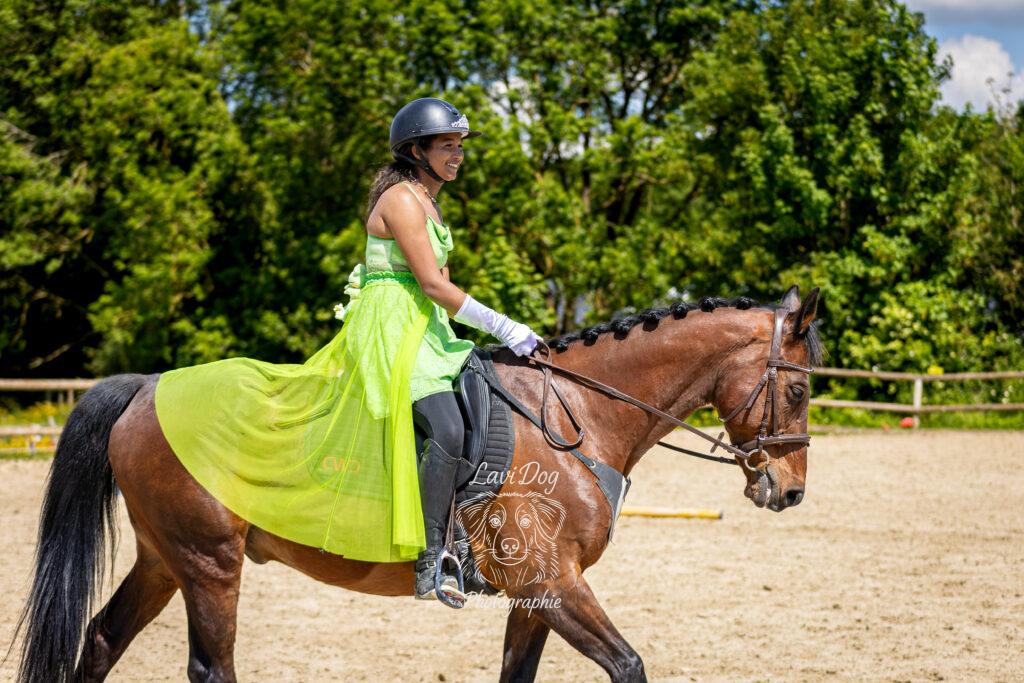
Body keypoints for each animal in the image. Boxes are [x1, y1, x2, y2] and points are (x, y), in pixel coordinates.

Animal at [13, 284, 821, 683]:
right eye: (802, 389)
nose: (789, 492)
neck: (579, 414)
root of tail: (150, 388)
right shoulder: (554, 583)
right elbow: (629, 666)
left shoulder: (535, 594)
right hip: (211, 565)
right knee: (210, 668)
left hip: (164, 559)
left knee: (101, 641)